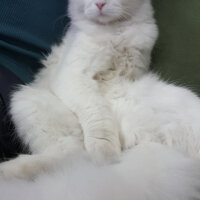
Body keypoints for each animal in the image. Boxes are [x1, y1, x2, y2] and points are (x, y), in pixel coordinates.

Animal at [0, 0, 199, 180]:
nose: (100, 4)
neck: (115, 32)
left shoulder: (134, 70)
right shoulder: (74, 76)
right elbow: (98, 114)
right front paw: (105, 150)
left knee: (69, 157)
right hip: (27, 101)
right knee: (68, 154)